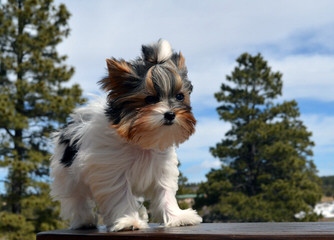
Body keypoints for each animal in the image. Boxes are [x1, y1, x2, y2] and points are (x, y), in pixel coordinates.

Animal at [49, 39, 201, 232]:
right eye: (150, 99)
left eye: (180, 96)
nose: (170, 114)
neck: (140, 141)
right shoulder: (112, 172)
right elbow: (120, 195)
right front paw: (129, 221)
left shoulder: (162, 169)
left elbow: (165, 192)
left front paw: (177, 217)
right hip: (68, 175)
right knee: (77, 199)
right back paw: (84, 221)